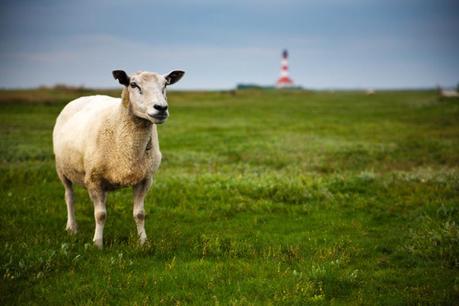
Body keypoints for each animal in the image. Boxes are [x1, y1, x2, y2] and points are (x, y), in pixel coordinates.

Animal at [52, 69, 185, 249]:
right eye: (133, 85)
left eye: (165, 85)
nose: (161, 108)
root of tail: (82, 97)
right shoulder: (93, 179)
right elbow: (100, 214)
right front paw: (98, 243)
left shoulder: (145, 179)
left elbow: (139, 214)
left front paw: (143, 242)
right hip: (62, 169)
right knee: (69, 197)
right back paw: (72, 228)